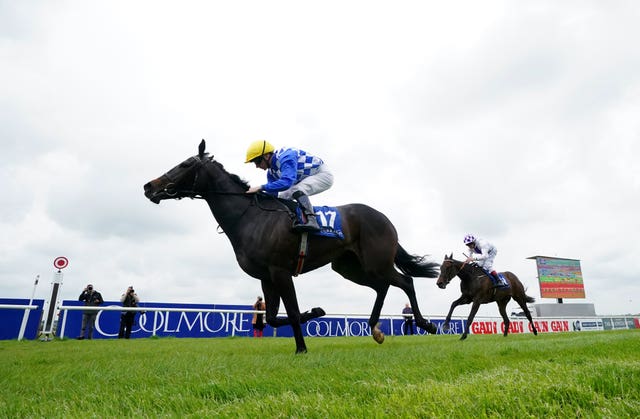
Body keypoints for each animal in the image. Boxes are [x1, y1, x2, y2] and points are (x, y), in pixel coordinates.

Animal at [144, 142, 440, 354]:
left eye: (184, 164)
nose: (149, 186)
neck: (250, 218)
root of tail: (384, 218)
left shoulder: (280, 271)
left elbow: (293, 312)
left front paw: (301, 347)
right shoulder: (266, 277)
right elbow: (273, 318)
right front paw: (316, 313)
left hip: (375, 262)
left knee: (405, 281)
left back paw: (426, 324)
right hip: (349, 267)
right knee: (383, 286)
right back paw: (375, 329)